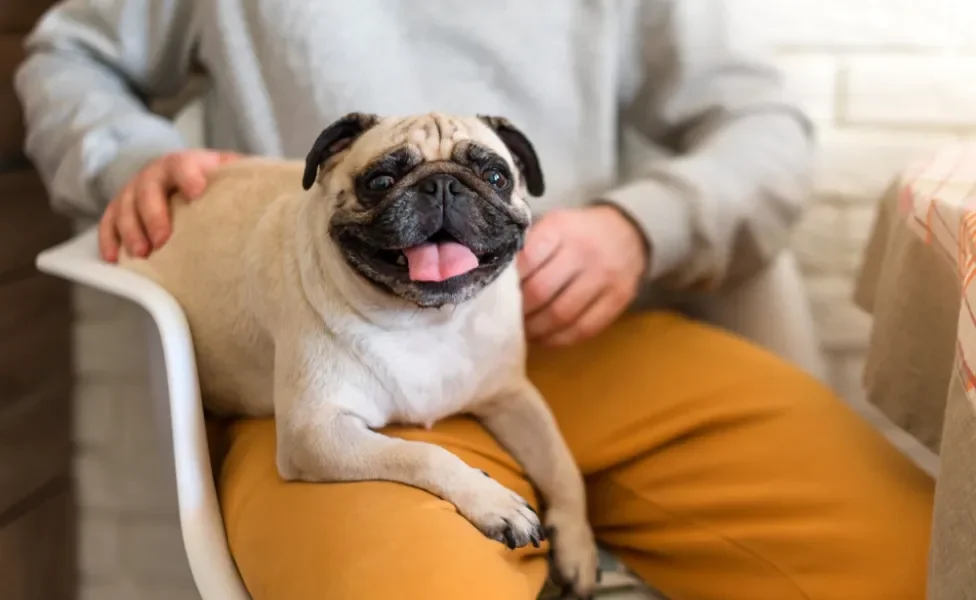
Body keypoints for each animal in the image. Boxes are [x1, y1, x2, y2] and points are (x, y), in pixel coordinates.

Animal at [123, 111, 604, 596]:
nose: (443, 185)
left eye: (496, 177)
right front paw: (492, 500)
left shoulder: (512, 395)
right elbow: (422, 454)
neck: (427, 319)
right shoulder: (315, 431)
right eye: (380, 181)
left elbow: (561, 464)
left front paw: (577, 546)